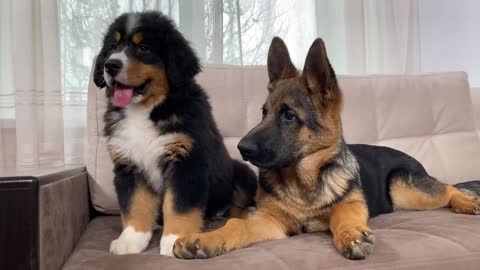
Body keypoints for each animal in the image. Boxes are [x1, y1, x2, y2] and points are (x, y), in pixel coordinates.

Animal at [94, 11, 258, 256]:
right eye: (113, 46)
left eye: (144, 48)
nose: (110, 65)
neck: (145, 110)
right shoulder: (129, 164)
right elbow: (135, 205)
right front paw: (131, 240)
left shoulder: (186, 162)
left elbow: (179, 206)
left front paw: (175, 239)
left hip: (242, 173)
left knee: (237, 206)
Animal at [172, 37, 480, 260]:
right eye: (264, 113)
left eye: (289, 115)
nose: (241, 148)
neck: (302, 183)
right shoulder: (272, 221)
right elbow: (237, 224)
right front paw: (205, 239)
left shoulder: (351, 205)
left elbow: (341, 216)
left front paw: (351, 234)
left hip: (404, 188)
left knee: (448, 189)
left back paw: (466, 201)